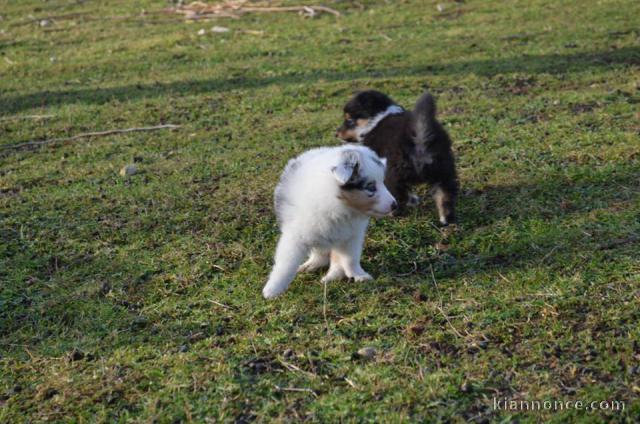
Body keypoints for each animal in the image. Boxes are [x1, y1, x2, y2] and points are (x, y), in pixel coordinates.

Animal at [262, 145, 396, 298]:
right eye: (370, 187)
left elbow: (350, 259)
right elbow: (286, 264)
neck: (342, 207)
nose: (395, 205)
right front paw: (272, 289)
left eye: (383, 182)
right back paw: (311, 266)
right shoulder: (295, 237)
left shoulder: (351, 237)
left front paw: (358, 274)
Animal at [338, 88, 458, 224]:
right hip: (444, 170)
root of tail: (419, 138)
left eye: (349, 120)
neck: (377, 117)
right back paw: (446, 219)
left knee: (399, 196)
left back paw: (393, 212)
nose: (337, 133)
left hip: (393, 172)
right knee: (445, 195)